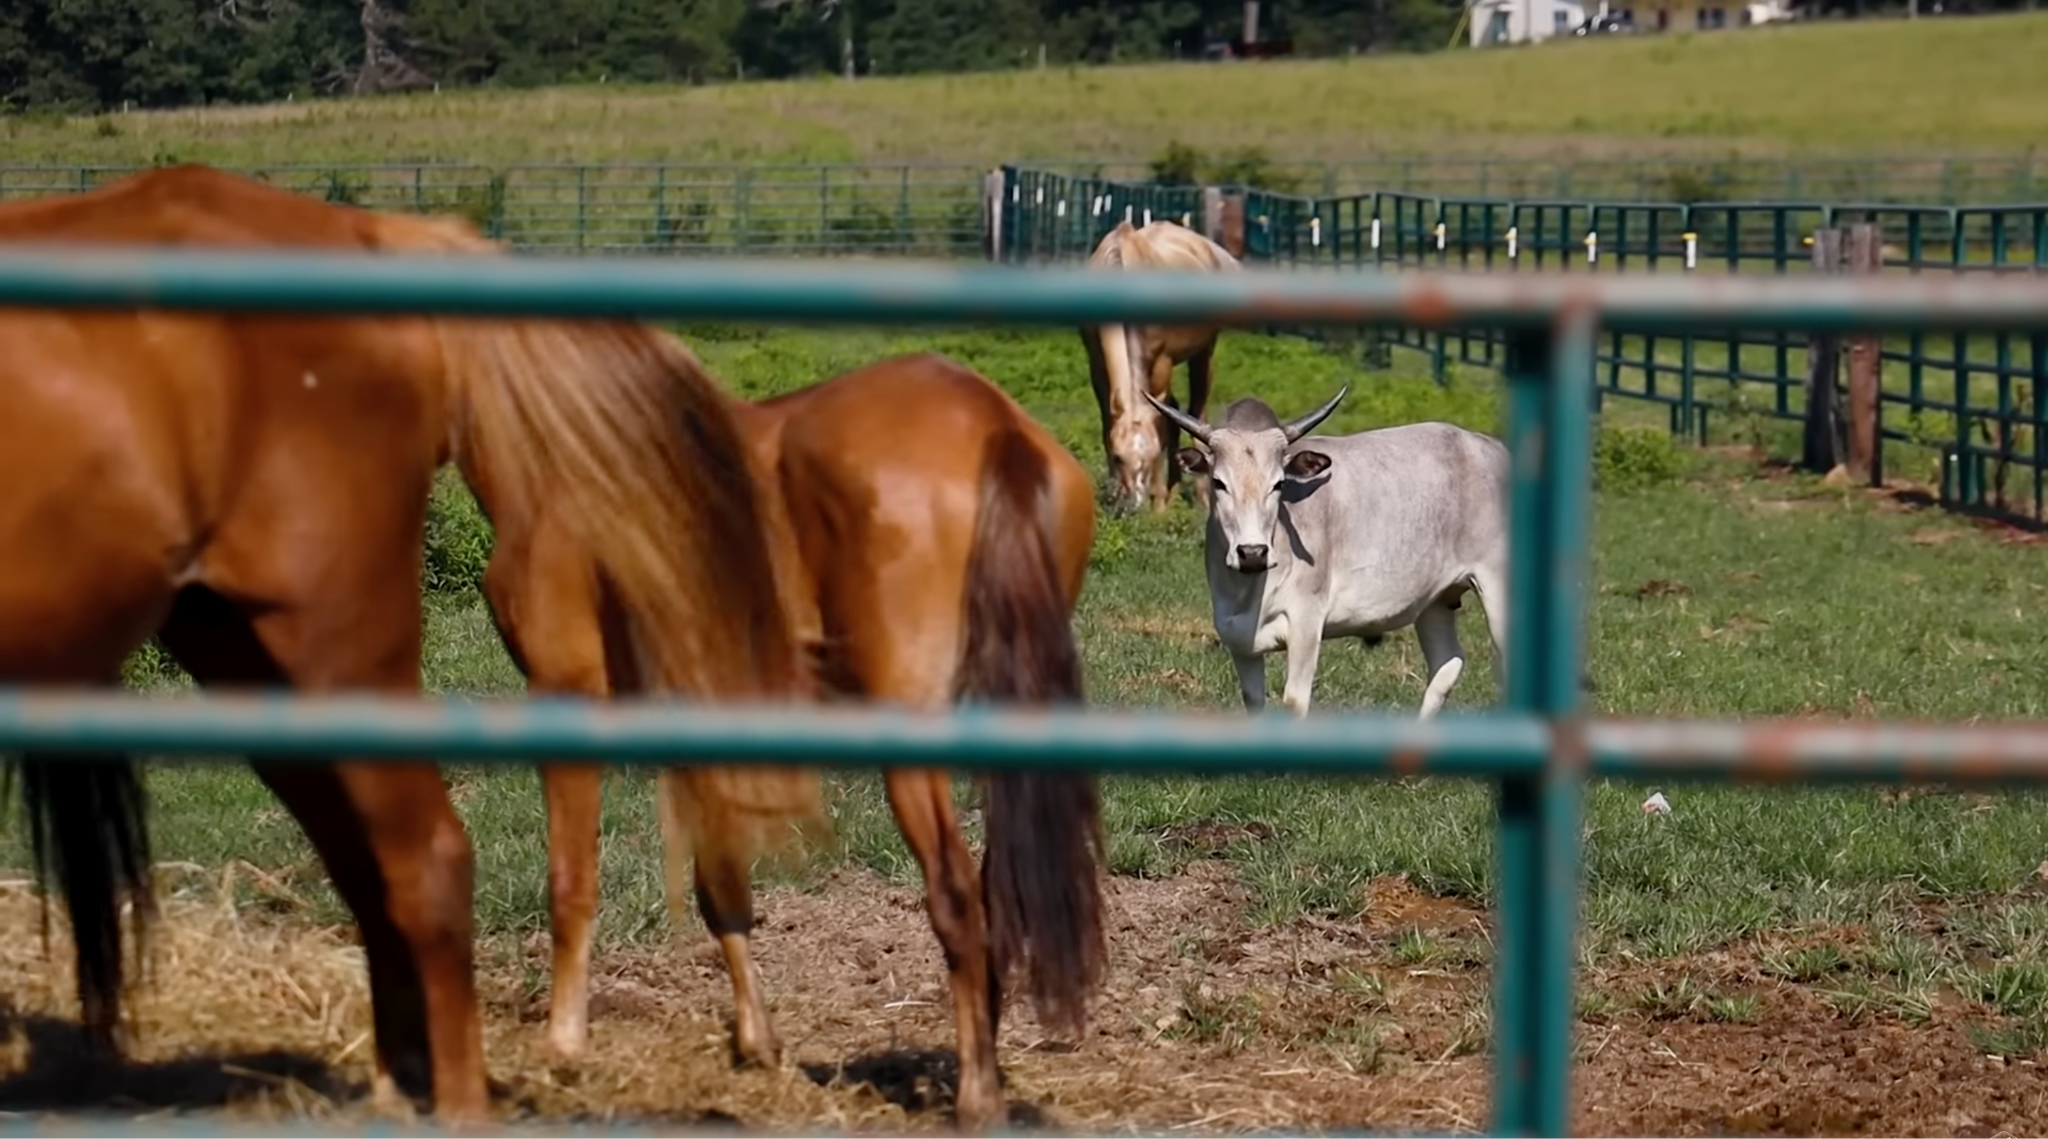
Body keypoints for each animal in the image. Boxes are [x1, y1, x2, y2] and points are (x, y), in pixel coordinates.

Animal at [521, 350, 1106, 1130]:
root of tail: (991, 421)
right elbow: (721, 884)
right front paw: (756, 1040)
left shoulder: (567, 692)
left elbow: (575, 878)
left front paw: (563, 1045)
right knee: (994, 895)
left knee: (955, 893)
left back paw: (977, 1094)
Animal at [1080, 219, 1241, 513]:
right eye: (1118, 456)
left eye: (1151, 454)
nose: (1135, 503)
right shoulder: (1096, 363)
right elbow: (1108, 420)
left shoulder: (1162, 363)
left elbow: (1163, 425)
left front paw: (1158, 505)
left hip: (1203, 354)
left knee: (1196, 412)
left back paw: (1199, 498)